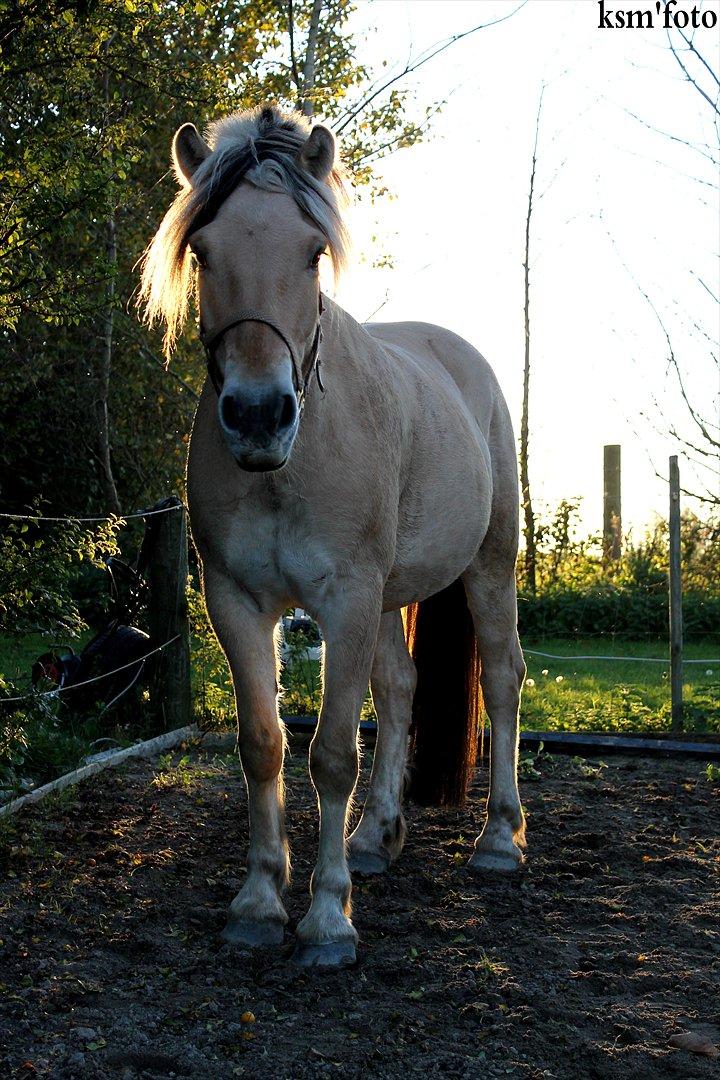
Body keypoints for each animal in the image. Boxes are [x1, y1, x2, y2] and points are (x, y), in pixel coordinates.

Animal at [140, 105, 526, 972]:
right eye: (203, 251)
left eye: (313, 252)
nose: (258, 415)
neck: (289, 465)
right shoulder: (239, 601)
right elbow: (263, 744)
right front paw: (258, 903)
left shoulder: (344, 600)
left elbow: (331, 755)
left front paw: (326, 920)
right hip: (386, 600)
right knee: (402, 688)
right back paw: (377, 837)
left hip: (488, 569)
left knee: (504, 680)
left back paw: (498, 841)